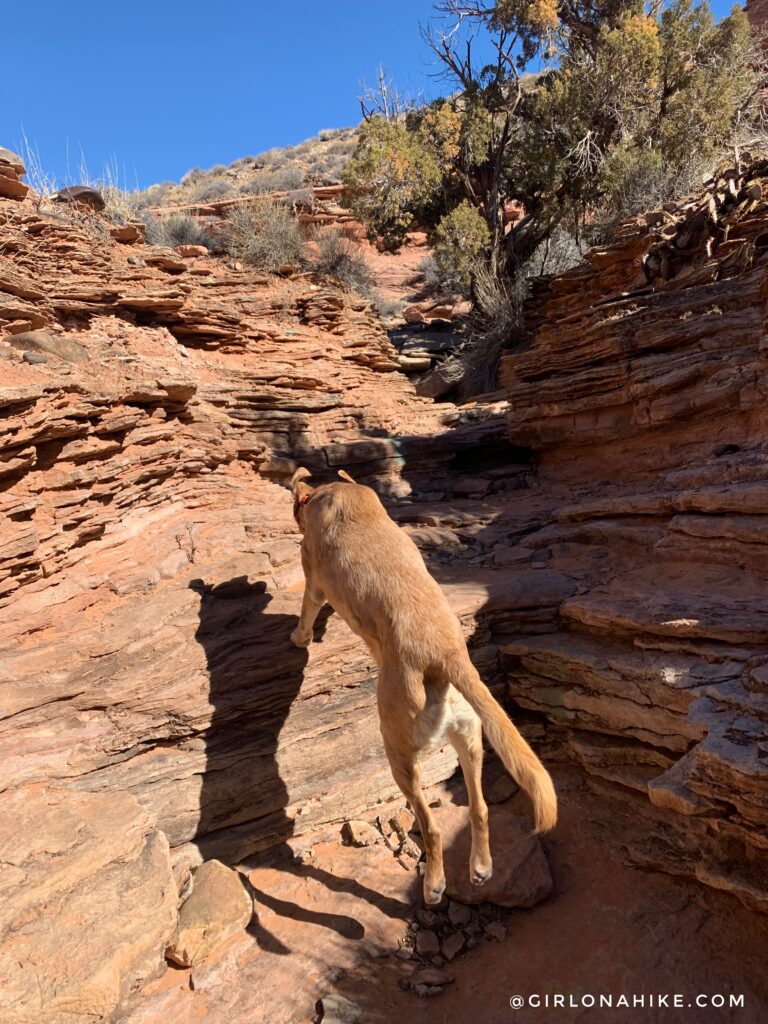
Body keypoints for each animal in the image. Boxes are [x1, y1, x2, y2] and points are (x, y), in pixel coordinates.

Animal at [290, 468, 557, 901]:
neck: (339, 491)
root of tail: (445, 654)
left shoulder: (312, 580)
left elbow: (306, 613)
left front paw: (299, 639)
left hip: (398, 751)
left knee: (429, 826)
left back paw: (433, 886)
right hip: (471, 737)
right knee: (479, 807)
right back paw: (480, 867)